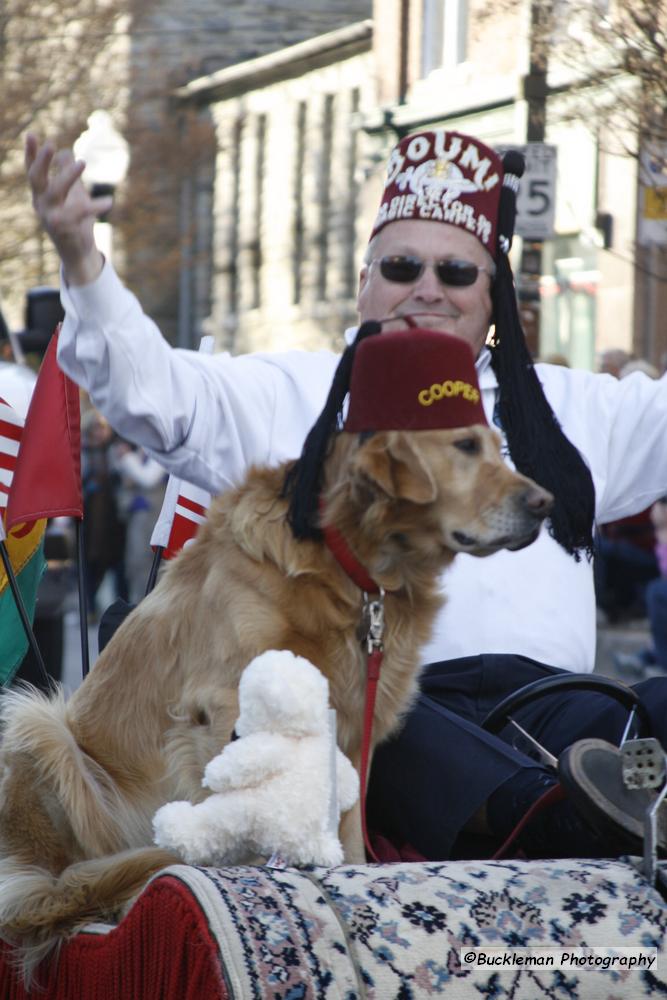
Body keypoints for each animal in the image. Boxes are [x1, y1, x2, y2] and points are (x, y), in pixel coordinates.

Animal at [0, 422, 552, 968]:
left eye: (500, 448)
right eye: (465, 446)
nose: (546, 503)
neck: (353, 571)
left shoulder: (354, 726)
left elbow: (348, 833)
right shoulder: (221, 709)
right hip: (44, 732)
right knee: (59, 888)